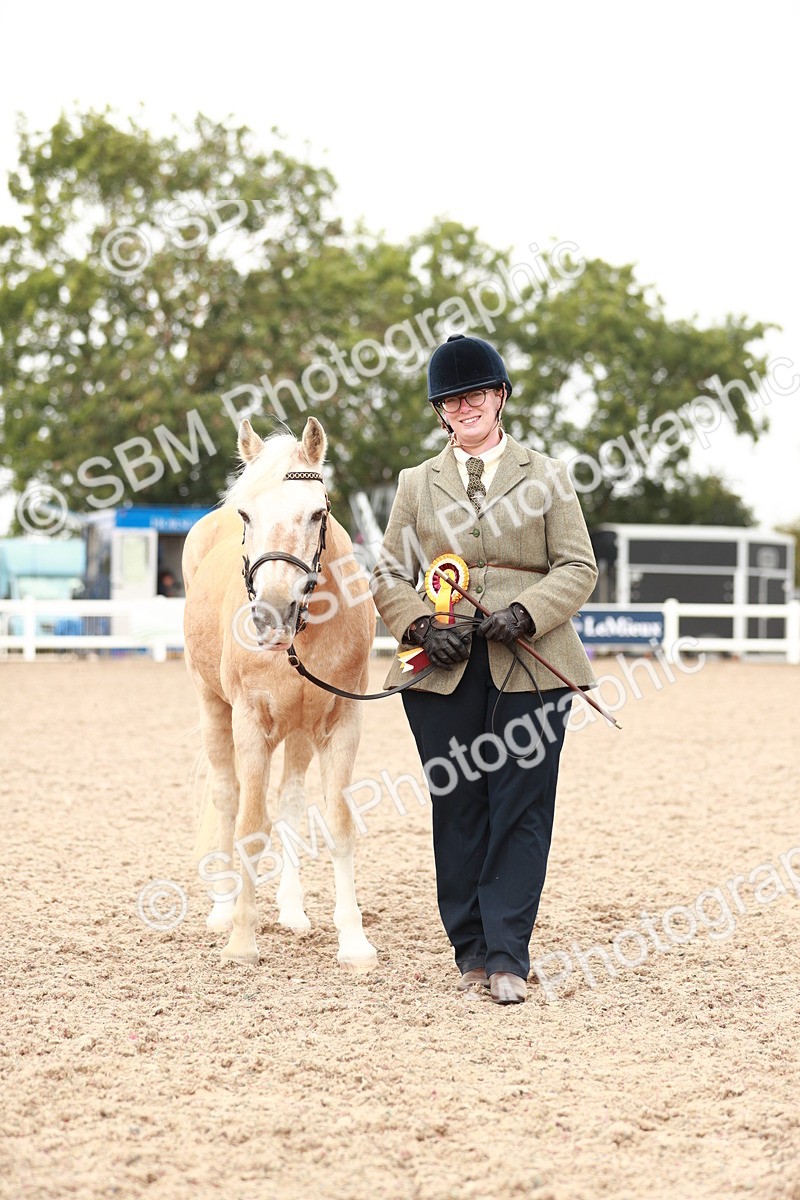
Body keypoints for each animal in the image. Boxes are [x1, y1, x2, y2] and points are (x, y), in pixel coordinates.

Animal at [182, 415, 378, 972]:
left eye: (316, 513)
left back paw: (291, 910)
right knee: (228, 798)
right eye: (248, 513)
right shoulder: (250, 723)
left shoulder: (341, 724)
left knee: (290, 801)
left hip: (300, 730)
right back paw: (222, 910)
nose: (271, 614)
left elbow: (337, 824)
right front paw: (242, 940)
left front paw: (353, 942)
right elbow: (250, 824)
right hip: (212, 706)